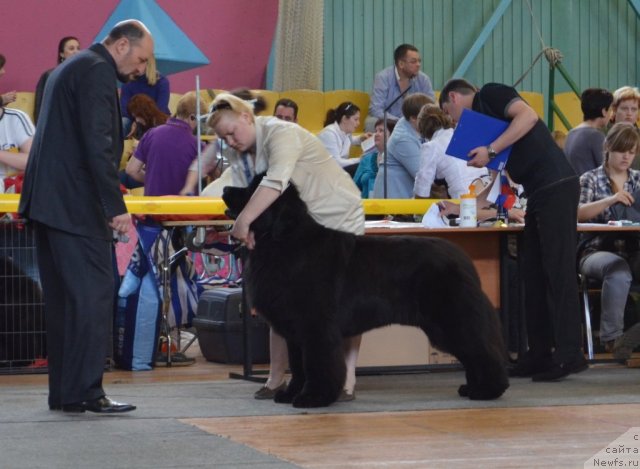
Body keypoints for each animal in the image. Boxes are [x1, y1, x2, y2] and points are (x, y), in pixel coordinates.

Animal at [222, 176, 508, 406]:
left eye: (251, 189)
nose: (224, 188)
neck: (283, 241)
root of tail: (463, 259)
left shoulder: (316, 328)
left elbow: (317, 364)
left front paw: (314, 397)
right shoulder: (295, 330)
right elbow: (299, 365)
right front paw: (291, 394)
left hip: (453, 320)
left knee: (481, 350)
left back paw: (488, 390)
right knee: (473, 354)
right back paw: (472, 388)